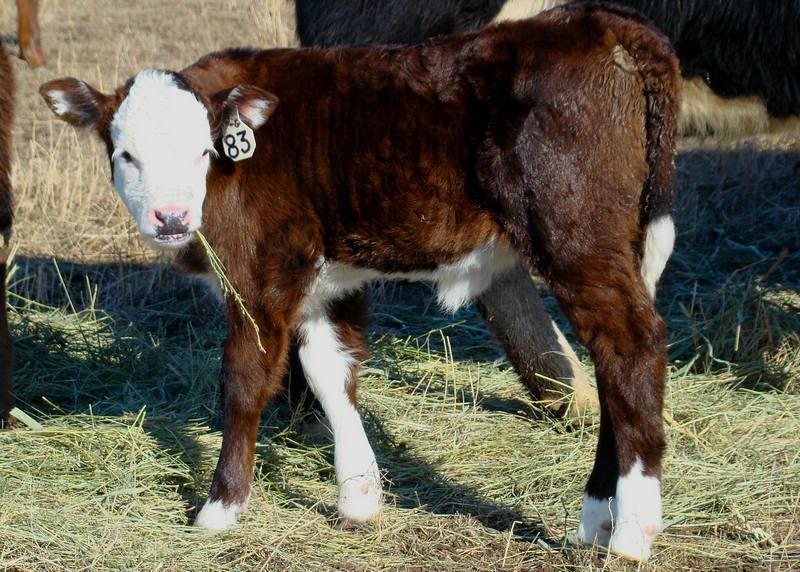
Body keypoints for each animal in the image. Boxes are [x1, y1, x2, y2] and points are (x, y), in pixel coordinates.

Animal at [40, 3, 680, 561]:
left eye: (203, 150)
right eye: (124, 154)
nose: (170, 218)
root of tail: (602, 24)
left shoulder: (259, 278)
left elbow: (245, 382)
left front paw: (220, 508)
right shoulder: (326, 280)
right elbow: (332, 373)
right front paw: (360, 497)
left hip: (577, 237)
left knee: (631, 348)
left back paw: (632, 533)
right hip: (616, 246)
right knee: (612, 365)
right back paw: (597, 519)